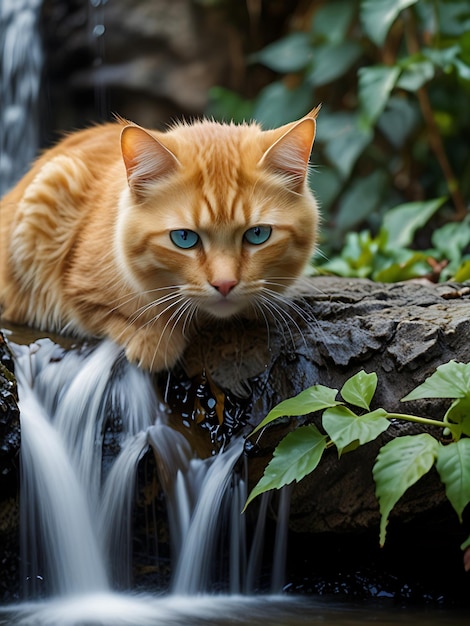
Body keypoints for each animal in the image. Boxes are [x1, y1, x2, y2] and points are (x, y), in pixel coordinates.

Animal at [0, 108, 320, 370]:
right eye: (184, 238)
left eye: (257, 234)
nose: (225, 284)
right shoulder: (72, 284)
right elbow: (104, 315)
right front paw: (154, 339)